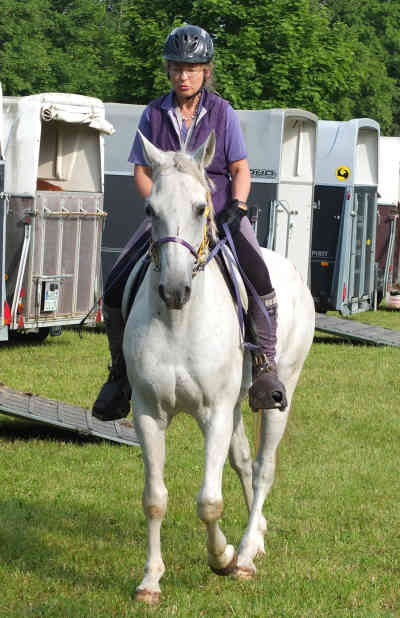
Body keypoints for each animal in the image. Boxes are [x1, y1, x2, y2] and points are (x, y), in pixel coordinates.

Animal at [122, 131, 316, 600]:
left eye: (200, 207)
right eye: (150, 210)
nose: (174, 290)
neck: (179, 322)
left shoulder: (213, 415)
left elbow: (209, 501)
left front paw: (222, 556)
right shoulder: (149, 413)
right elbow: (154, 498)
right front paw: (150, 580)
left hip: (278, 394)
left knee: (263, 469)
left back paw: (245, 554)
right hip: (235, 406)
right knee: (245, 462)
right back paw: (256, 535)